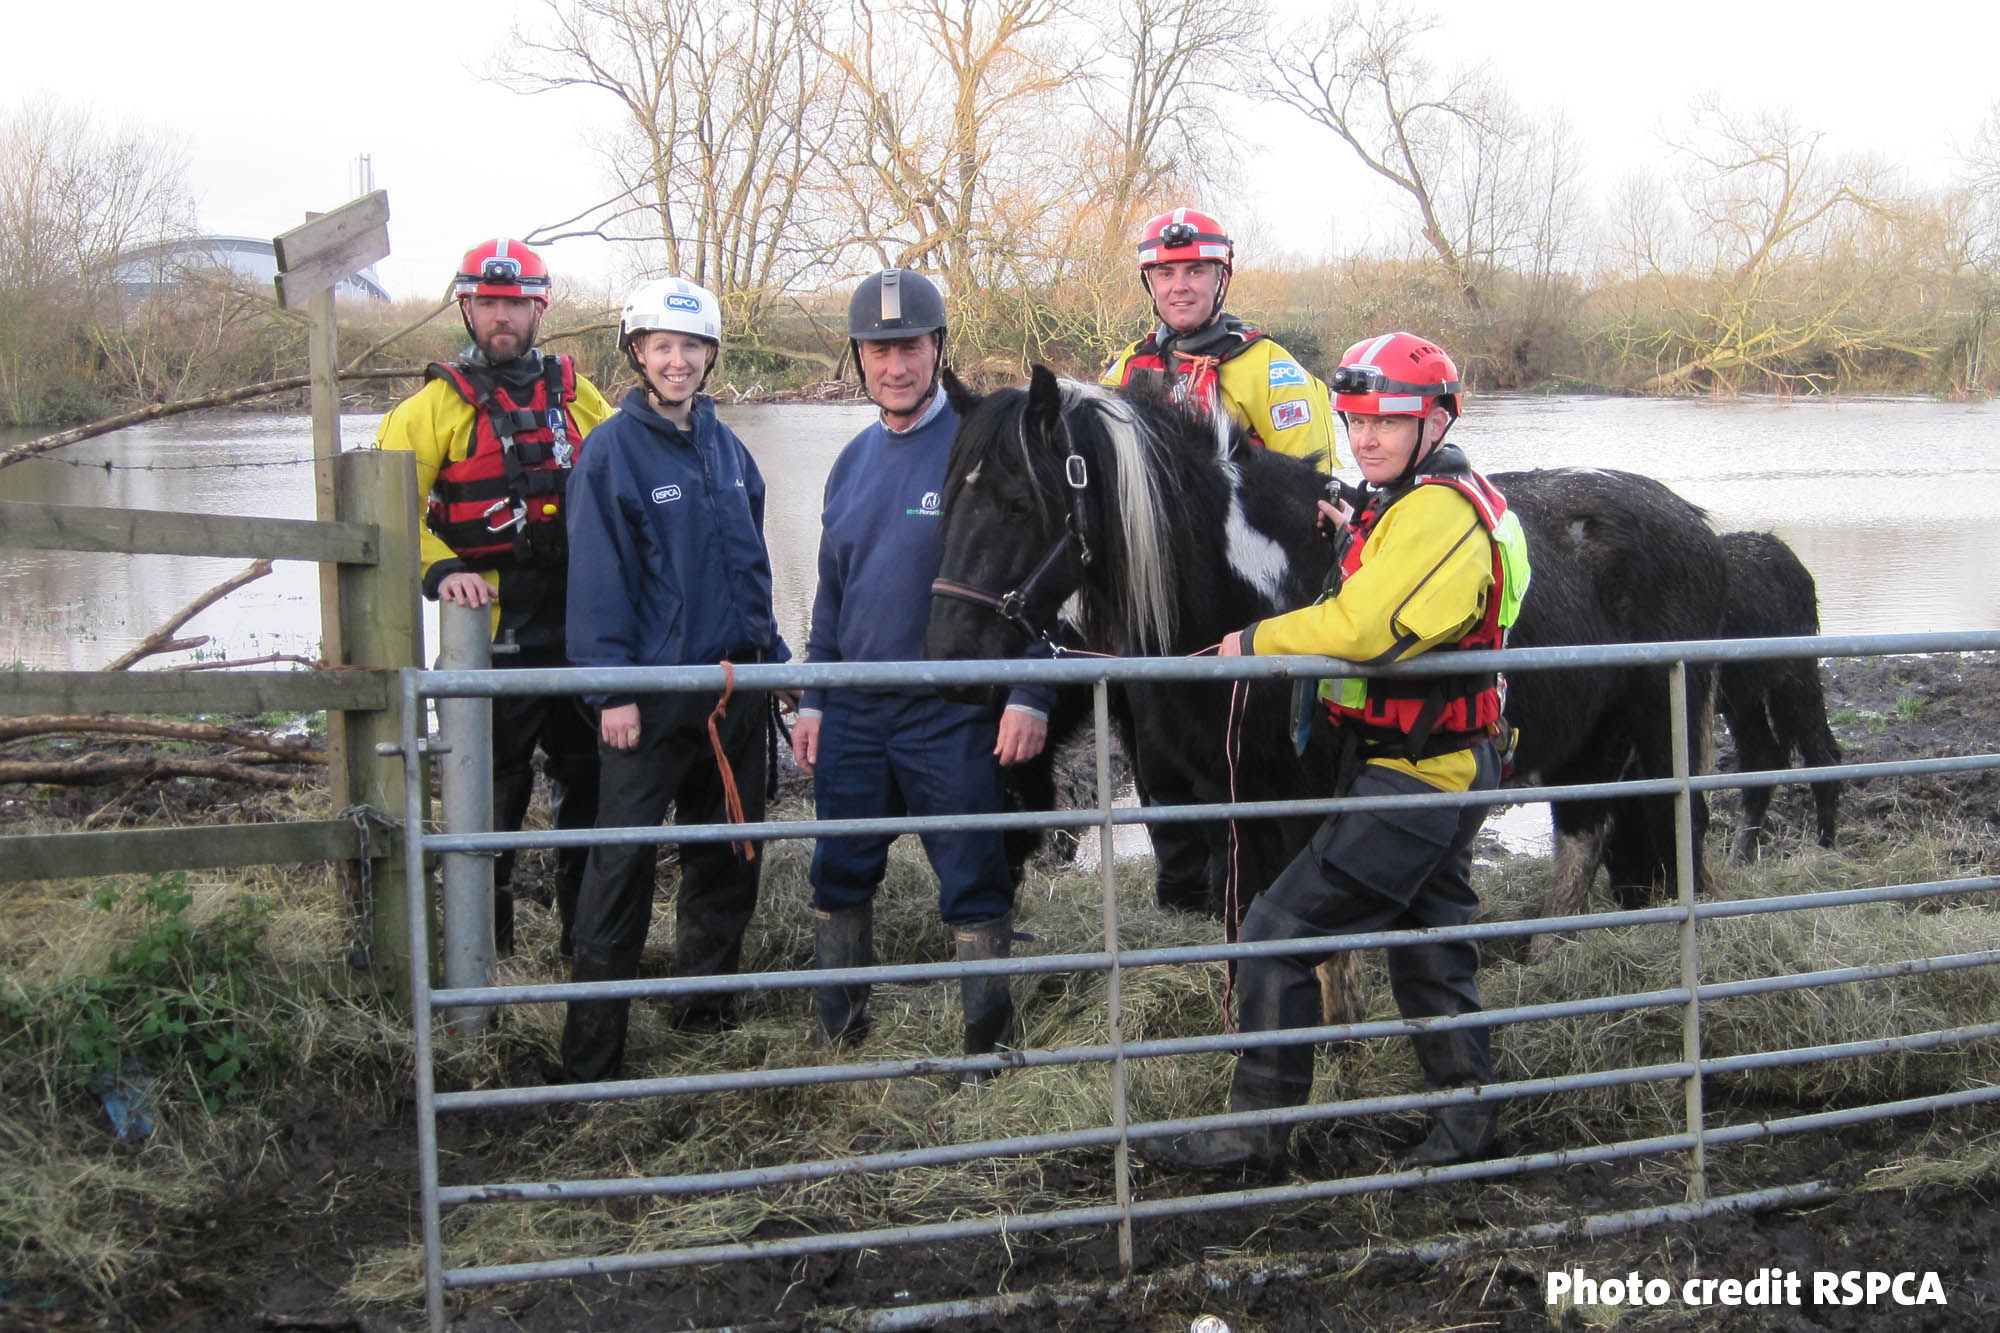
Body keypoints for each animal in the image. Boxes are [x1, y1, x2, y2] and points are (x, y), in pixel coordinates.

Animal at [928, 368, 1728, 992]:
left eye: (1019, 503)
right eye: (949, 500)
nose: (953, 654)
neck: (1255, 583)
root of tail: (1696, 524)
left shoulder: (1310, 796)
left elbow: (1322, 947)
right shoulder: (1235, 800)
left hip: (1665, 732)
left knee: (1682, 847)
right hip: (1589, 745)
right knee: (1582, 843)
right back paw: (1545, 959)